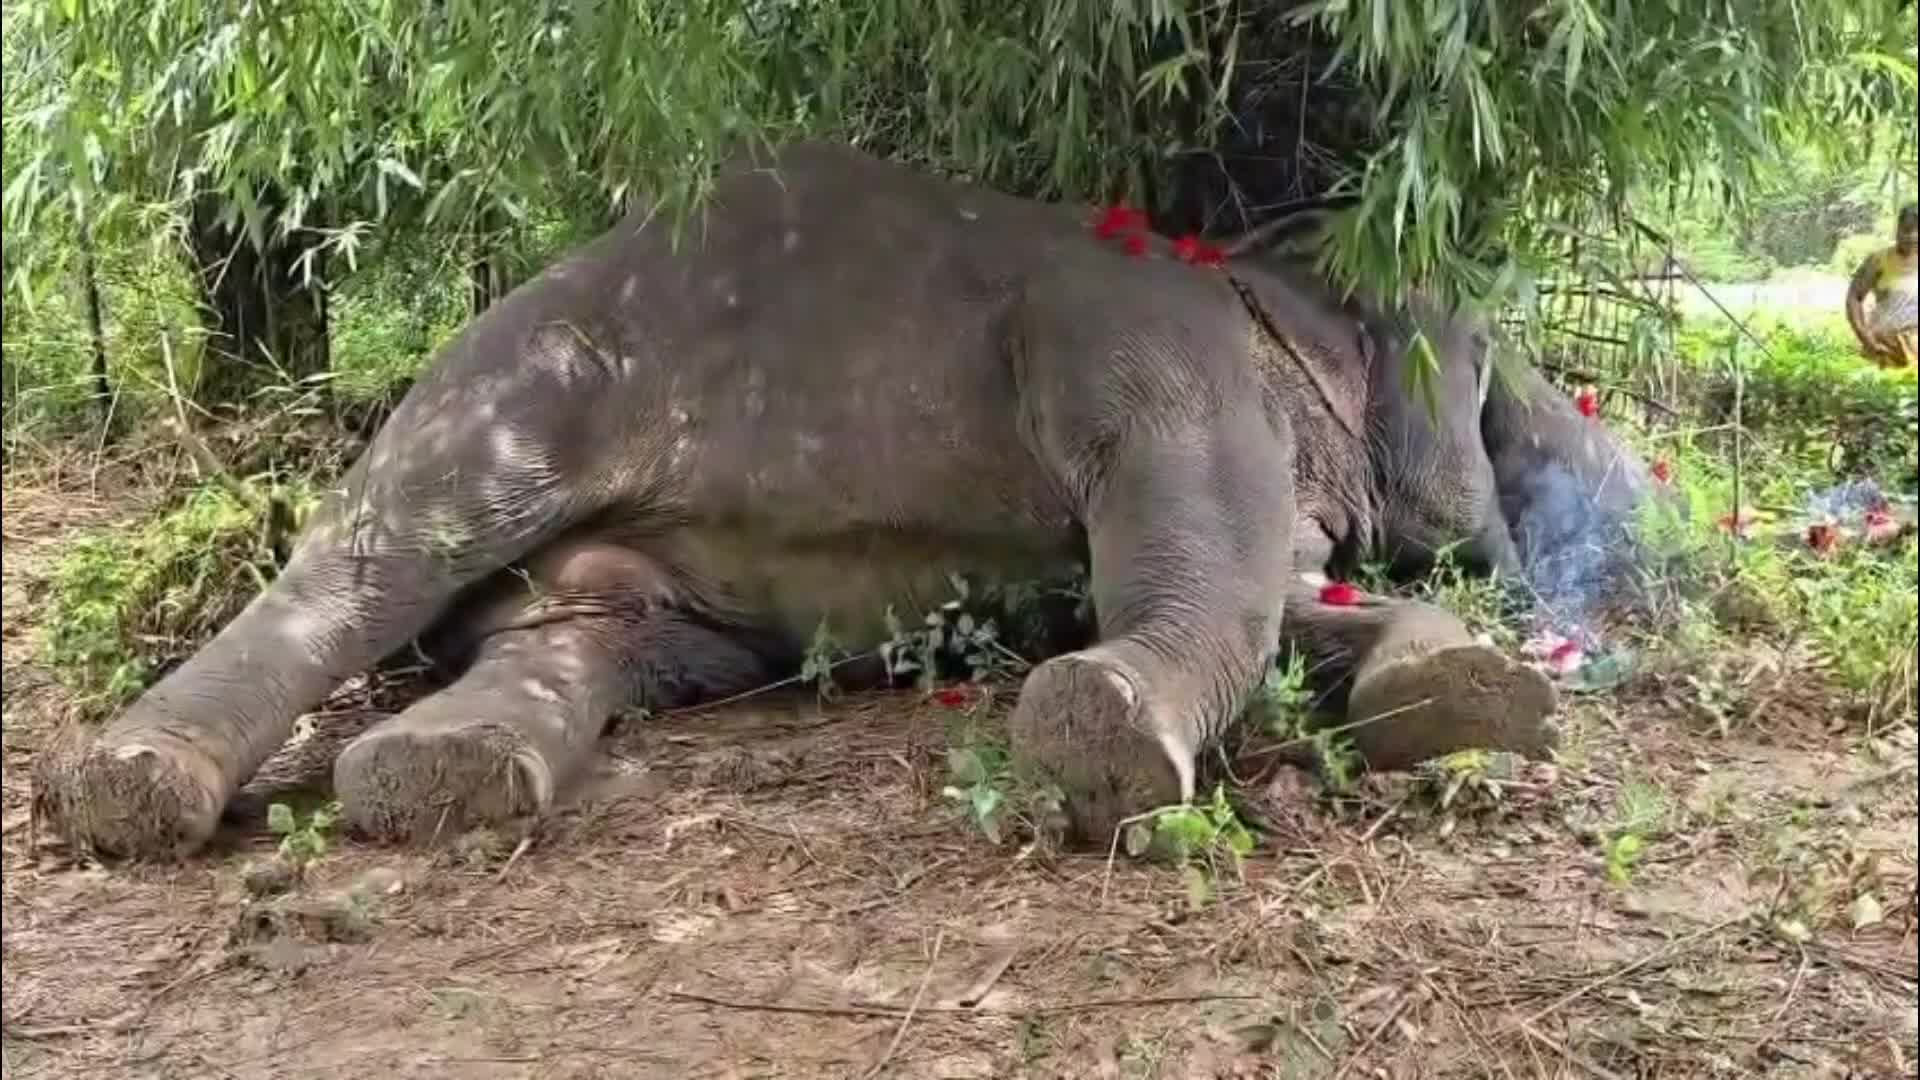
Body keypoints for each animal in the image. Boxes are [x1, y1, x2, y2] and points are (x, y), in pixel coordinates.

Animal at [33, 140, 1660, 860]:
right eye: (1505, 381)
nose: (1631, 496)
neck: (1273, 283)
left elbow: (1290, 597)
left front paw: (1462, 696)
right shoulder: (1150, 350)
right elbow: (1210, 557)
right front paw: (1103, 737)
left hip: (635, 587)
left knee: (572, 637)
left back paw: (441, 782)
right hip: (518, 384)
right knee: (374, 559)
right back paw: (129, 790)